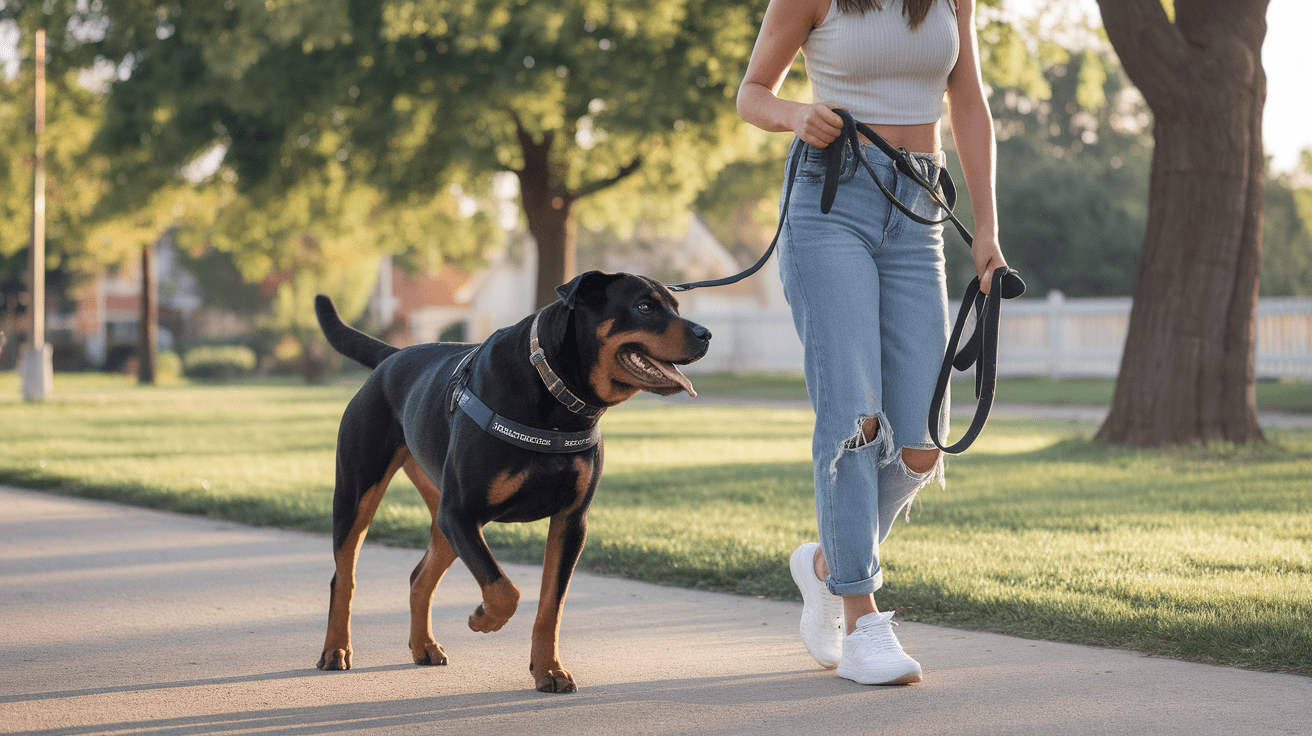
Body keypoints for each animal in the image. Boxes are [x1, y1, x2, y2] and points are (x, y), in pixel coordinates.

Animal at [313, 268, 713, 687]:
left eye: (676, 306)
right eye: (645, 306)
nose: (705, 334)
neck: (556, 400)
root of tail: (391, 356)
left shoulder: (570, 522)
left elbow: (550, 605)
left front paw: (549, 669)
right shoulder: (461, 513)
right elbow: (505, 589)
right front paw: (483, 619)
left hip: (442, 518)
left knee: (419, 576)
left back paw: (423, 646)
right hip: (360, 496)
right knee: (343, 577)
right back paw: (336, 649)